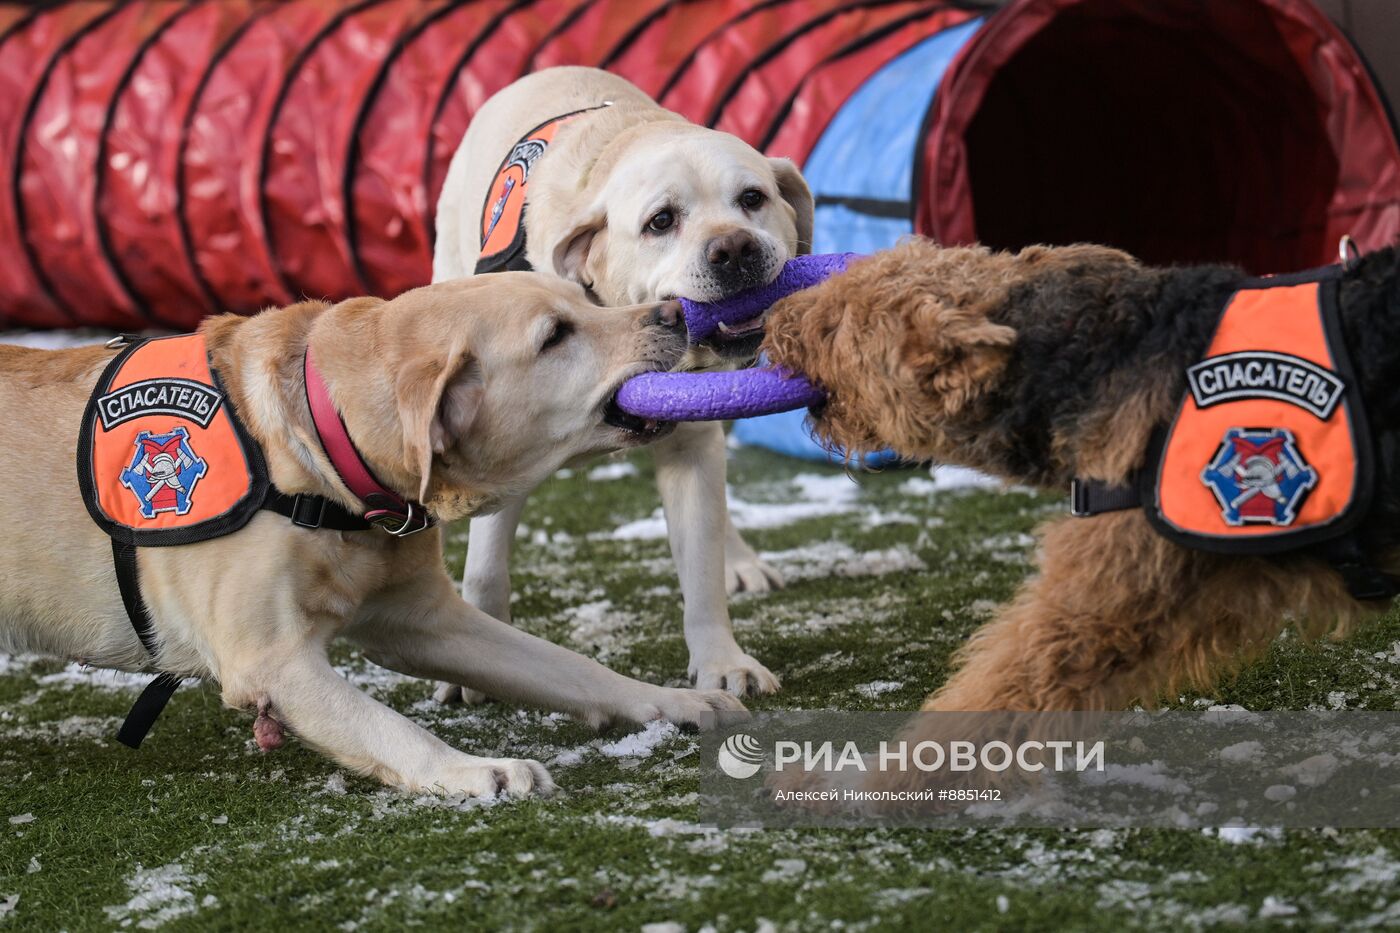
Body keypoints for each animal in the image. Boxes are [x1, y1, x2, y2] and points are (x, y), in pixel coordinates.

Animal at [0, 273, 744, 795]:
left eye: (584, 297)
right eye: (555, 335)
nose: (675, 312)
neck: (321, 455)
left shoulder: (425, 621)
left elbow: (573, 668)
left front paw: (676, 701)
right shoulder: (271, 661)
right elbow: (392, 727)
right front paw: (476, 770)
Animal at [431, 65, 817, 697]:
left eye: (752, 199)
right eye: (661, 221)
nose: (734, 248)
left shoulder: (692, 444)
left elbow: (701, 567)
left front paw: (724, 664)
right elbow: (485, 569)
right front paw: (476, 663)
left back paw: (740, 561)